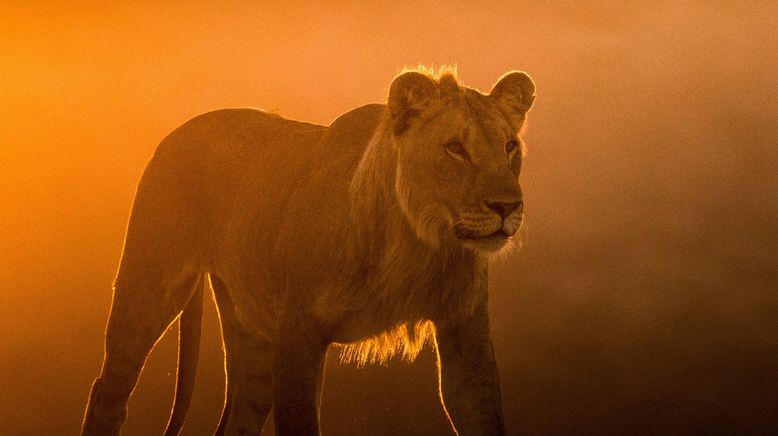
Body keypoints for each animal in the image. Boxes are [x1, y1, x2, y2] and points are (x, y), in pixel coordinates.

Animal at [82, 66, 536, 434]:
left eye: (509, 147)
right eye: (455, 148)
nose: (507, 207)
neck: (417, 241)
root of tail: (180, 128)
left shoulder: (465, 333)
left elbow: (480, 414)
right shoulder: (298, 333)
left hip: (251, 333)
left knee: (237, 416)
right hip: (149, 289)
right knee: (107, 392)